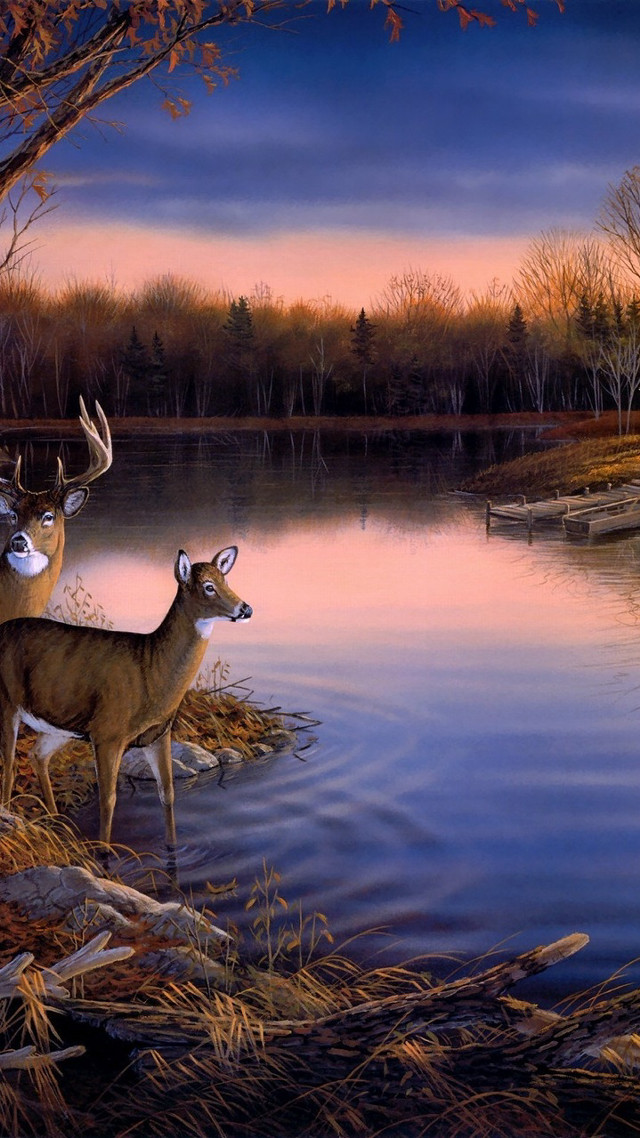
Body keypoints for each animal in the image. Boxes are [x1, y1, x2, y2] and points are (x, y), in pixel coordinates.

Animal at [0, 546, 252, 847]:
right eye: (209, 586)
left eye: (227, 580)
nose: (246, 608)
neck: (150, 671)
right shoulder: (107, 733)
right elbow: (108, 800)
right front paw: (103, 851)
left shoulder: (158, 734)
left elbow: (167, 794)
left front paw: (172, 846)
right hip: (6, 701)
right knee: (9, 765)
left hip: (58, 727)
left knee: (36, 755)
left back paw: (56, 821)